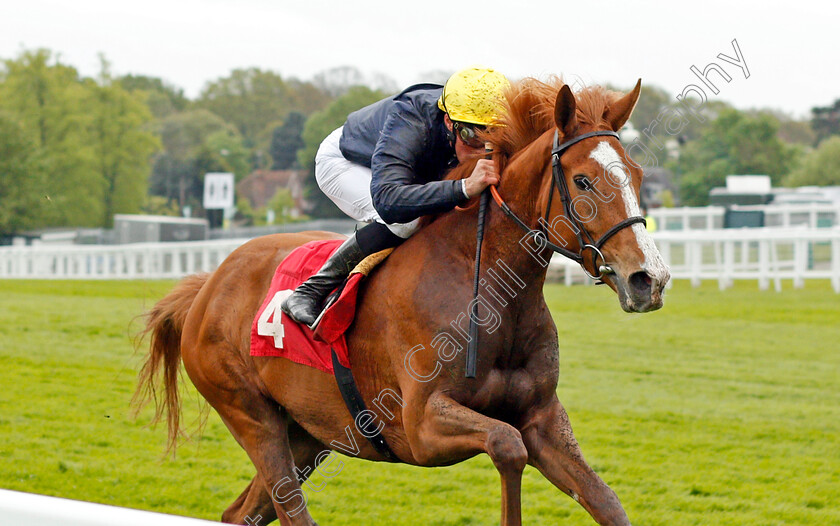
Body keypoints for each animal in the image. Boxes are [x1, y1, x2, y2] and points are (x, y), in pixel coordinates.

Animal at [135, 78, 668, 526]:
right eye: (582, 181)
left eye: (638, 175)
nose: (650, 279)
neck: (487, 288)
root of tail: (207, 285)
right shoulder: (420, 426)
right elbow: (506, 444)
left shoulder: (542, 418)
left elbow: (605, 501)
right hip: (250, 414)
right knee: (289, 508)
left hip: (308, 432)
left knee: (241, 513)